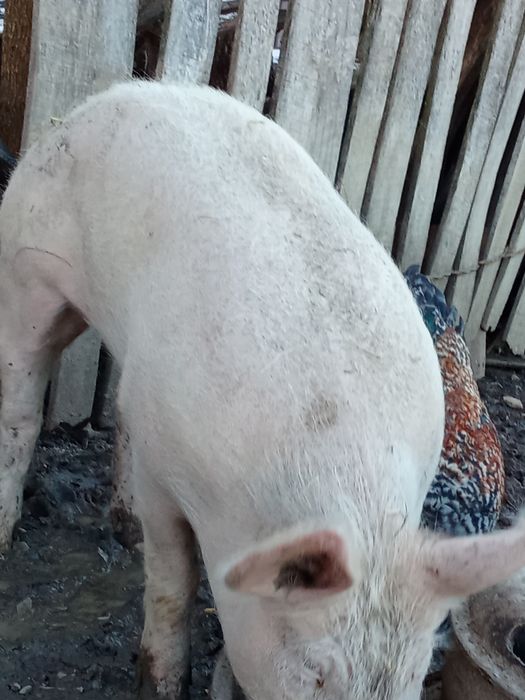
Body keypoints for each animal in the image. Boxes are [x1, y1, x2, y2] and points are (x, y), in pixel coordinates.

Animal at [1, 81, 524, 700]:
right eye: (314, 670)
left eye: (416, 674)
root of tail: (115, 94)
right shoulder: (164, 475)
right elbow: (173, 579)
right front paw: (161, 685)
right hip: (27, 262)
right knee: (21, 403)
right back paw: (7, 537)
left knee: (122, 408)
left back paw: (123, 531)